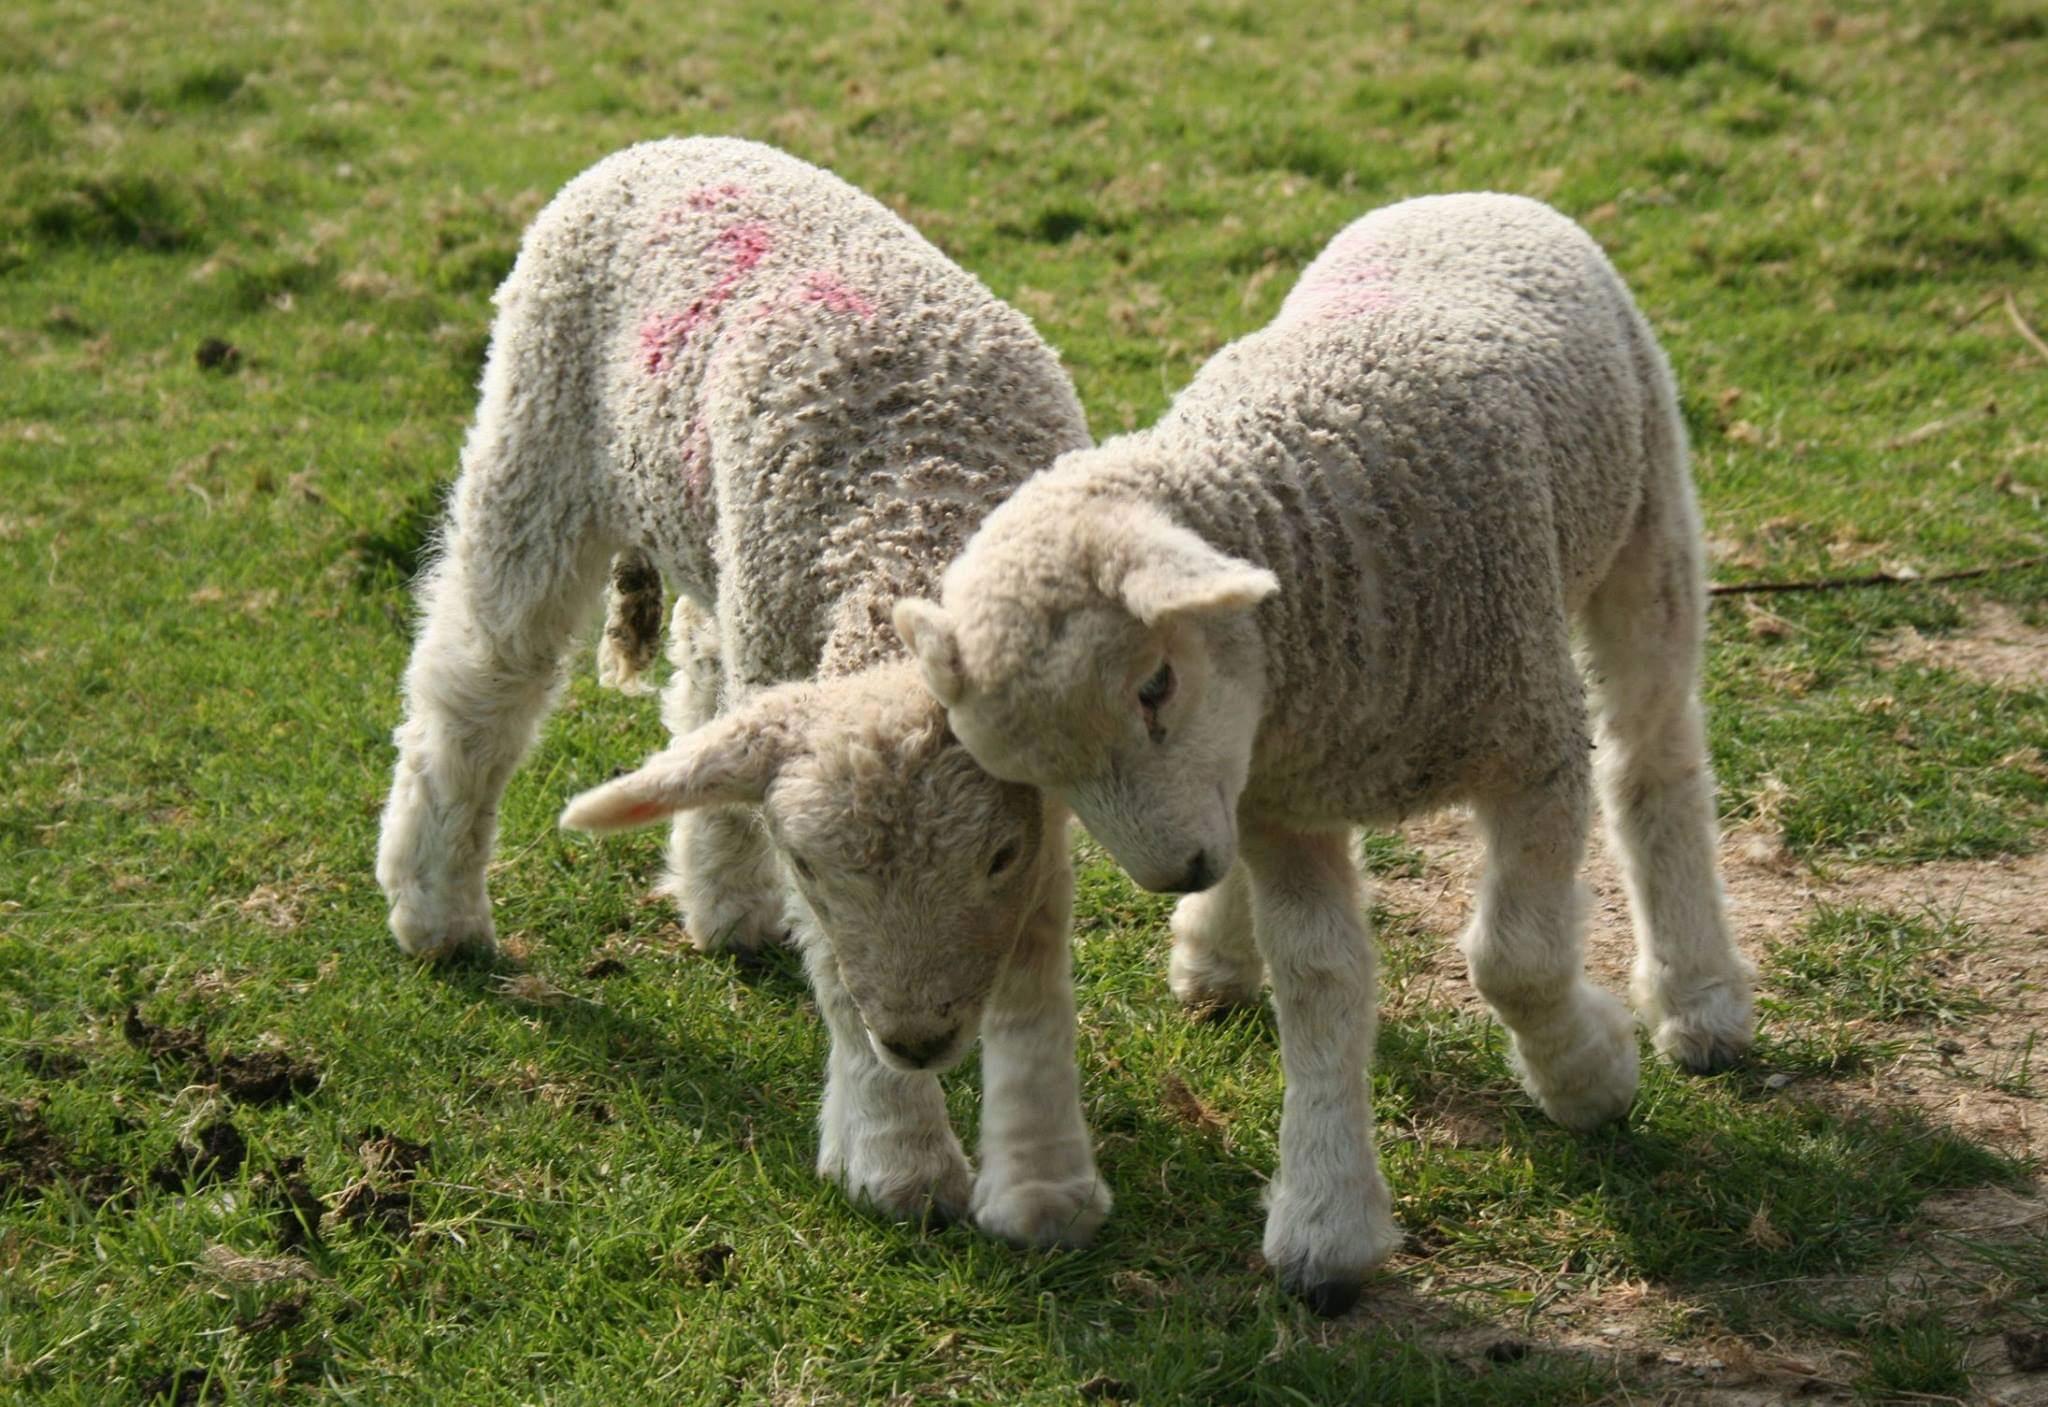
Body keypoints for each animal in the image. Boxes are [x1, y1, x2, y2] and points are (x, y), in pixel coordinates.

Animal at [368, 135, 1105, 1245]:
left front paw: (1043, 1182)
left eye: (996, 857)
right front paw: (895, 1156)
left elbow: (1037, 961)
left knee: (707, 697)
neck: (915, 534)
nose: (916, 1040)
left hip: (726, 561)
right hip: (536, 440)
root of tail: (679, 144)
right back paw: (435, 909)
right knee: (475, 686)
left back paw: (721, 901)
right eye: (808, 863)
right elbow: (837, 974)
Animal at [897, 192, 1761, 1318]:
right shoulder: (1279, 799)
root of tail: (1467, 194)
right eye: (1041, 776)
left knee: (1653, 757)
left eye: (1153, 685)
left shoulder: (1532, 747)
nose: (1173, 868)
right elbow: (1317, 984)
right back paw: (1216, 949)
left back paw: (1699, 996)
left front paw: (1590, 1077)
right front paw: (1326, 1214)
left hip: (1646, 514)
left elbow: (1515, 958)